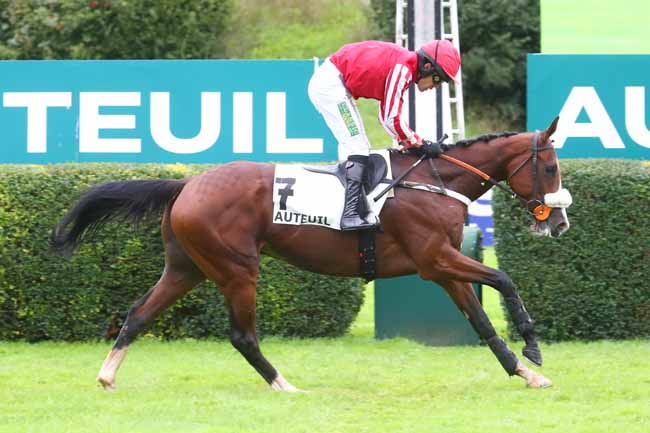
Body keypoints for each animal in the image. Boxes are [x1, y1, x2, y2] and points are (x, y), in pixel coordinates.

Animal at [49, 115, 568, 392]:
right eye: (549, 166)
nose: (559, 223)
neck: (434, 182)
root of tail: (187, 185)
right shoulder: (434, 259)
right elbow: (504, 280)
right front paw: (533, 346)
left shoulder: (442, 267)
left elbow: (481, 323)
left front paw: (525, 373)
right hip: (237, 267)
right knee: (242, 335)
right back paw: (283, 384)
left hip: (187, 267)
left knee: (139, 313)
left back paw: (107, 376)